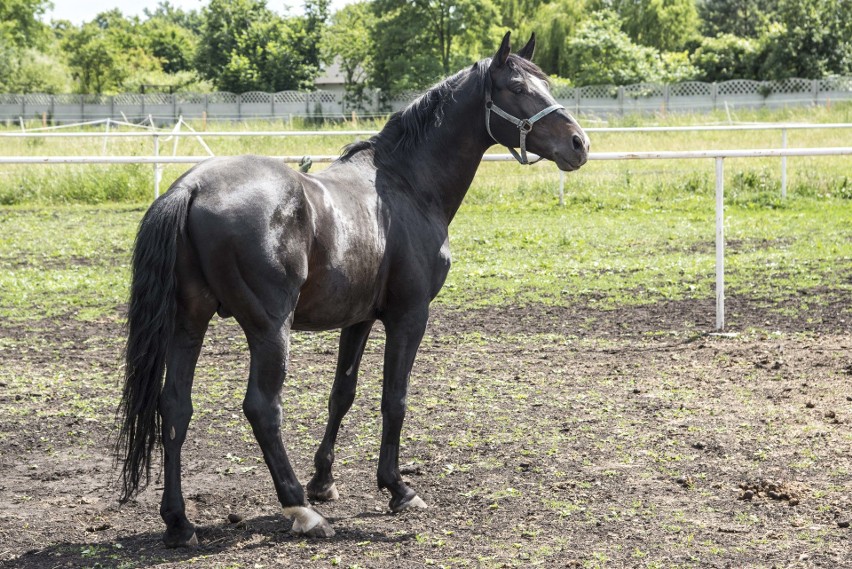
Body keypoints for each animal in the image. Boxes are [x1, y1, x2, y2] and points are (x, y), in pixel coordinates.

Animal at [116, 32, 588, 544]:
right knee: (262, 408)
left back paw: (180, 522)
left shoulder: (358, 318)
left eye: (545, 84)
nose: (579, 144)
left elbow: (342, 394)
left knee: (174, 408)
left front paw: (324, 481)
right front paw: (397, 488)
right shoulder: (409, 315)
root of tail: (193, 188)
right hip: (269, 330)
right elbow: (394, 398)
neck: (405, 185)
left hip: (189, 322)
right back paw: (300, 511)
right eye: (518, 87)